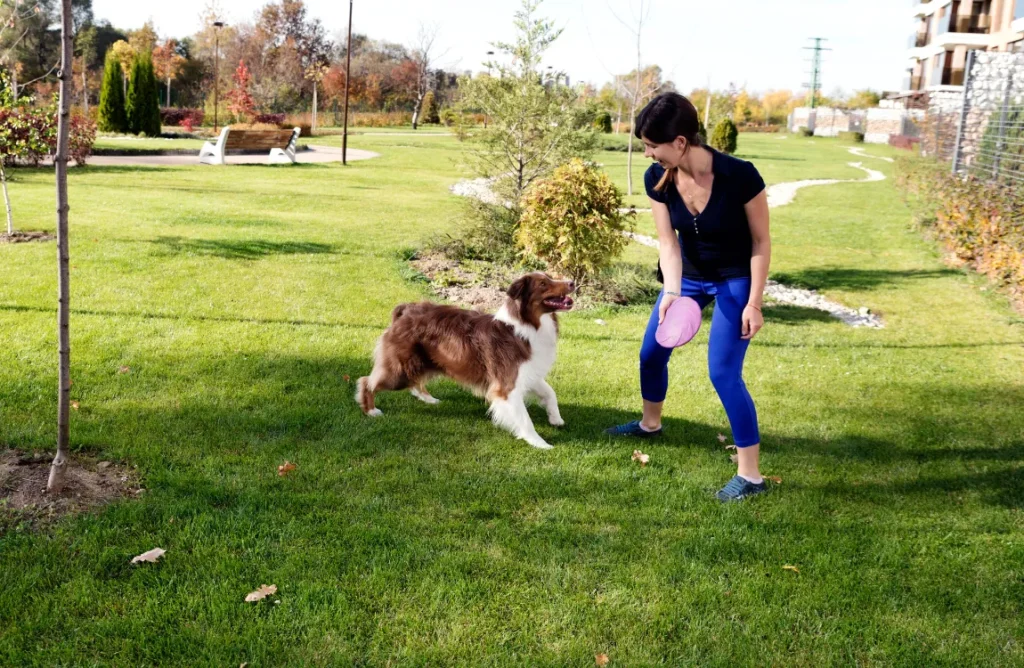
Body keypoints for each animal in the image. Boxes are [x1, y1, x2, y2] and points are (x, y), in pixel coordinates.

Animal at [354, 270, 577, 448]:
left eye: (550, 277)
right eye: (543, 284)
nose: (572, 282)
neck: (526, 326)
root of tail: (405, 310)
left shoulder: (528, 373)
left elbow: (550, 392)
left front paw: (555, 418)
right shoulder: (506, 385)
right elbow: (524, 418)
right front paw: (540, 443)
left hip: (421, 363)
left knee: (415, 382)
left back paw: (428, 398)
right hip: (399, 370)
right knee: (367, 381)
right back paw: (371, 410)